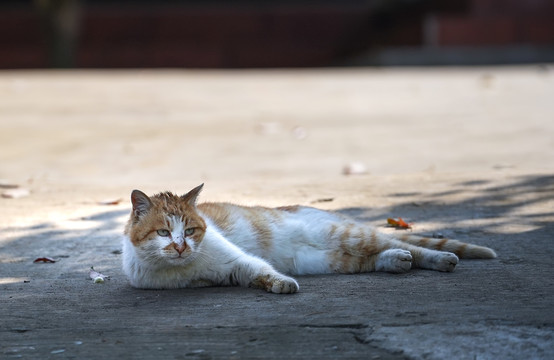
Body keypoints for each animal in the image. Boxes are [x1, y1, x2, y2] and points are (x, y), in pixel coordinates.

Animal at [123, 184, 494, 294]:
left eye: (190, 230)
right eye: (163, 232)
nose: (181, 246)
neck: (182, 269)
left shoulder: (238, 260)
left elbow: (263, 269)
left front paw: (283, 284)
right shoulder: (230, 273)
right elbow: (258, 276)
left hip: (347, 235)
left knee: (409, 246)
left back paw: (441, 260)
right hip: (325, 260)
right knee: (376, 258)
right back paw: (396, 263)